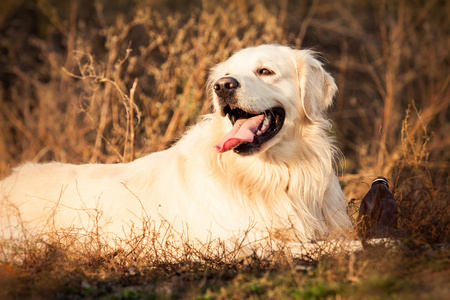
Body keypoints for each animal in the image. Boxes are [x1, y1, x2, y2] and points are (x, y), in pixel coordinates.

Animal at [0, 45, 352, 258]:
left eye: (265, 71)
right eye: (226, 75)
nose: (223, 85)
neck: (277, 171)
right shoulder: (231, 242)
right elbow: (314, 246)